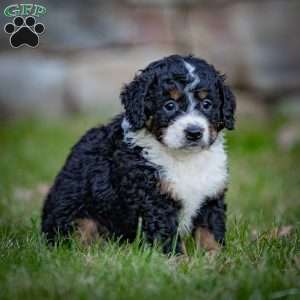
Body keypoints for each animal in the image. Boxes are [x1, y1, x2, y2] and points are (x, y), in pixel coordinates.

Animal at [41, 55, 236, 254]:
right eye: (169, 105)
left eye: (207, 104)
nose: (194, 132)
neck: (184, 159)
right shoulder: (154, 200)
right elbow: (167, 236)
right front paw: (177, 259)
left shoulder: (211, 195)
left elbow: (210, 232)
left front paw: (215, 257)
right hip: (77, 217)